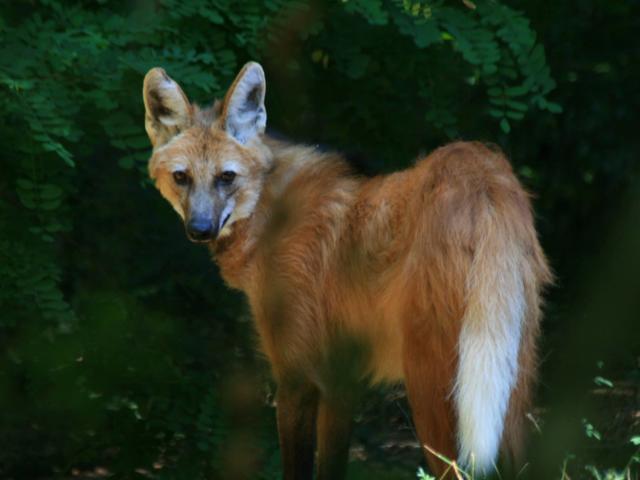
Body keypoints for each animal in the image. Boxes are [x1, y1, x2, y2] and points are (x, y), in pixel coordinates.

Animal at [142, 62, 552, 478]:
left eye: (227, 177)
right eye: (181, 177)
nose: (200, 229)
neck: (270, 212)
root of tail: (482, 173)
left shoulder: (296, 377)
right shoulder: (341, 380)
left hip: (436, 381)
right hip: (504, 371)